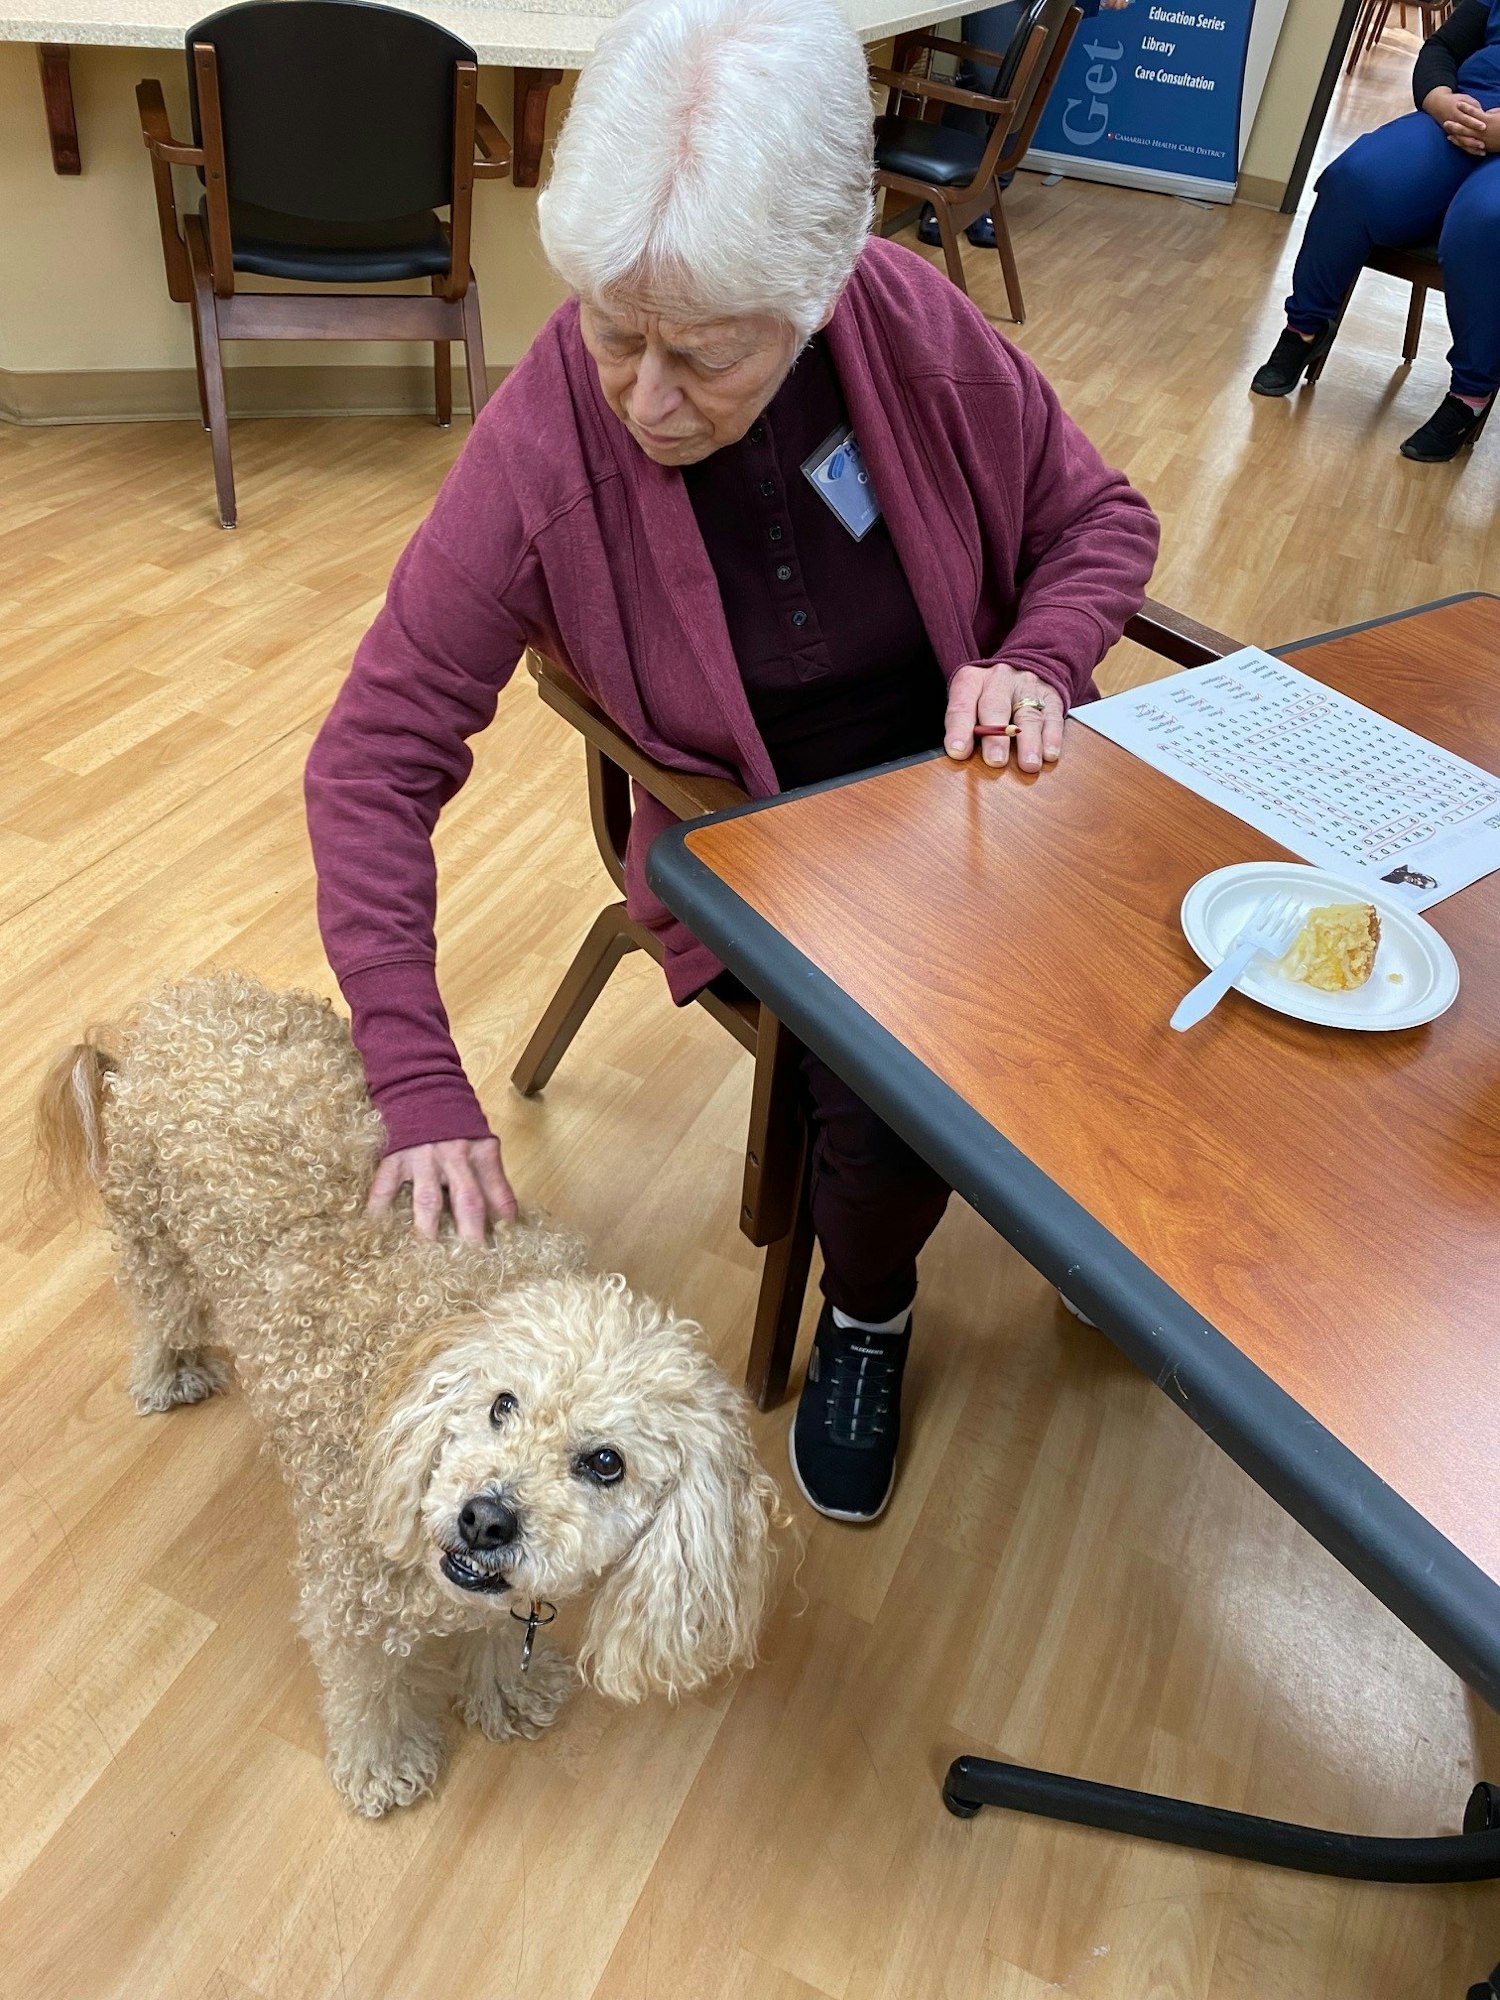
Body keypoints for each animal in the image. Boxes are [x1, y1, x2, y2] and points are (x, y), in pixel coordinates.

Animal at [39, 976, 780, 1824]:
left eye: (605, 1463)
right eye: (500, 1404)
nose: (485, 1518)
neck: (430, 1348)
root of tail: (173, 1006)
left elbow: (498, 1632)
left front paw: (507, 1690)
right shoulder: (348, 1599)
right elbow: (367, 1691)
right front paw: (382, 1765)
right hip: (152, 1228)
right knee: (160, 1305)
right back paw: (171, 1370)